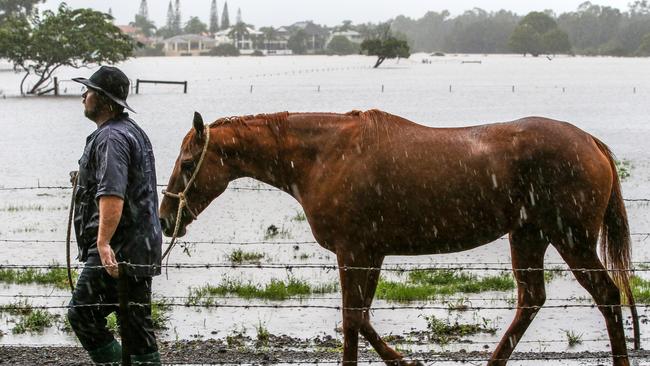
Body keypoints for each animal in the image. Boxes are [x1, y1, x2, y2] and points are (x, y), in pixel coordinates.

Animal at [158, 110, 636, 364]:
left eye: (188, 163)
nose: (164, 218)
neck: (325, 155)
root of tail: (591, 142)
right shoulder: (369, 253)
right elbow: (361, 319)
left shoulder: (354, 251)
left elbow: (353, 320)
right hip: (529, 236)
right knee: (531, 300)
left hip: (570, 239)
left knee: (606, 295)